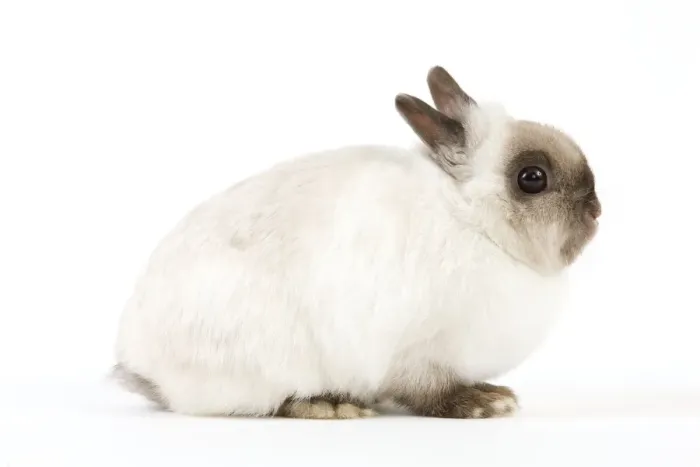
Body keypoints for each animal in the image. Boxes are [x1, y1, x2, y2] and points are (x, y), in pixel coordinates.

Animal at [113, 66, 601, 419]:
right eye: (531, 178)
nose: (596, 211)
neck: (474, 222)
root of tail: (145, 366)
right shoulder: (416, 352)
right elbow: (430, 392)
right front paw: (487, 402)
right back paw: (332, 404)